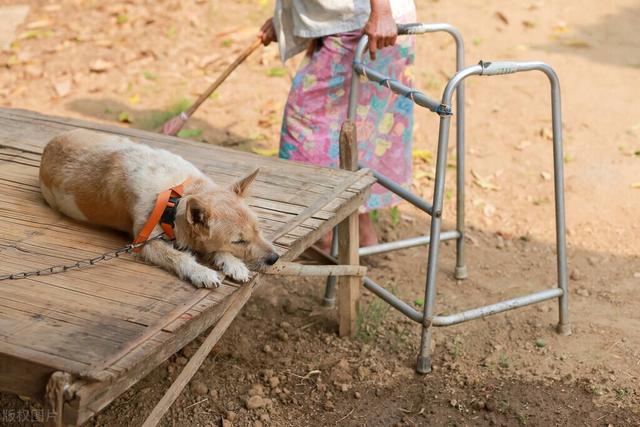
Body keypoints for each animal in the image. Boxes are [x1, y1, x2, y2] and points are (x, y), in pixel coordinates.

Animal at [38, 129, 278, 290]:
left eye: (258, 229)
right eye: (239, 241)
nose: (275, 258)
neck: (177, 193)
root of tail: (50, 144)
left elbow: (217, 249)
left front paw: (234, 264)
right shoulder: (144, 244)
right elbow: (179, 257)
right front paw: (201, 272)